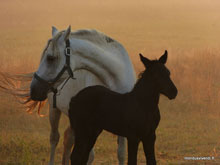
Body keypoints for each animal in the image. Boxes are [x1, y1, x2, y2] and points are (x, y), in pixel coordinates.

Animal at [29, 26, 136, 164]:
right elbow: (89, 155)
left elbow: (121, 154)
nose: (33, 89)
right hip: (54, 110)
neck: (115, 80)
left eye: (50, 58)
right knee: (54, 138)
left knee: (68, 139)